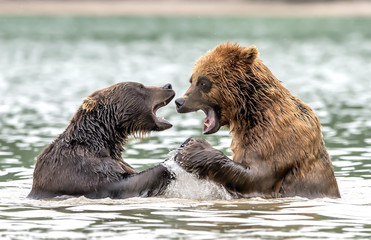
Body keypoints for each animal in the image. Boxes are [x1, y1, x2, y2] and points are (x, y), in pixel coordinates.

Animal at [176, 43, 342, 199]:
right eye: (191, 80)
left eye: (203, 82)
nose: (179, 102)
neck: (250, 113)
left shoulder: (277, 137)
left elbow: (257, 176)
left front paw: (194, 148)